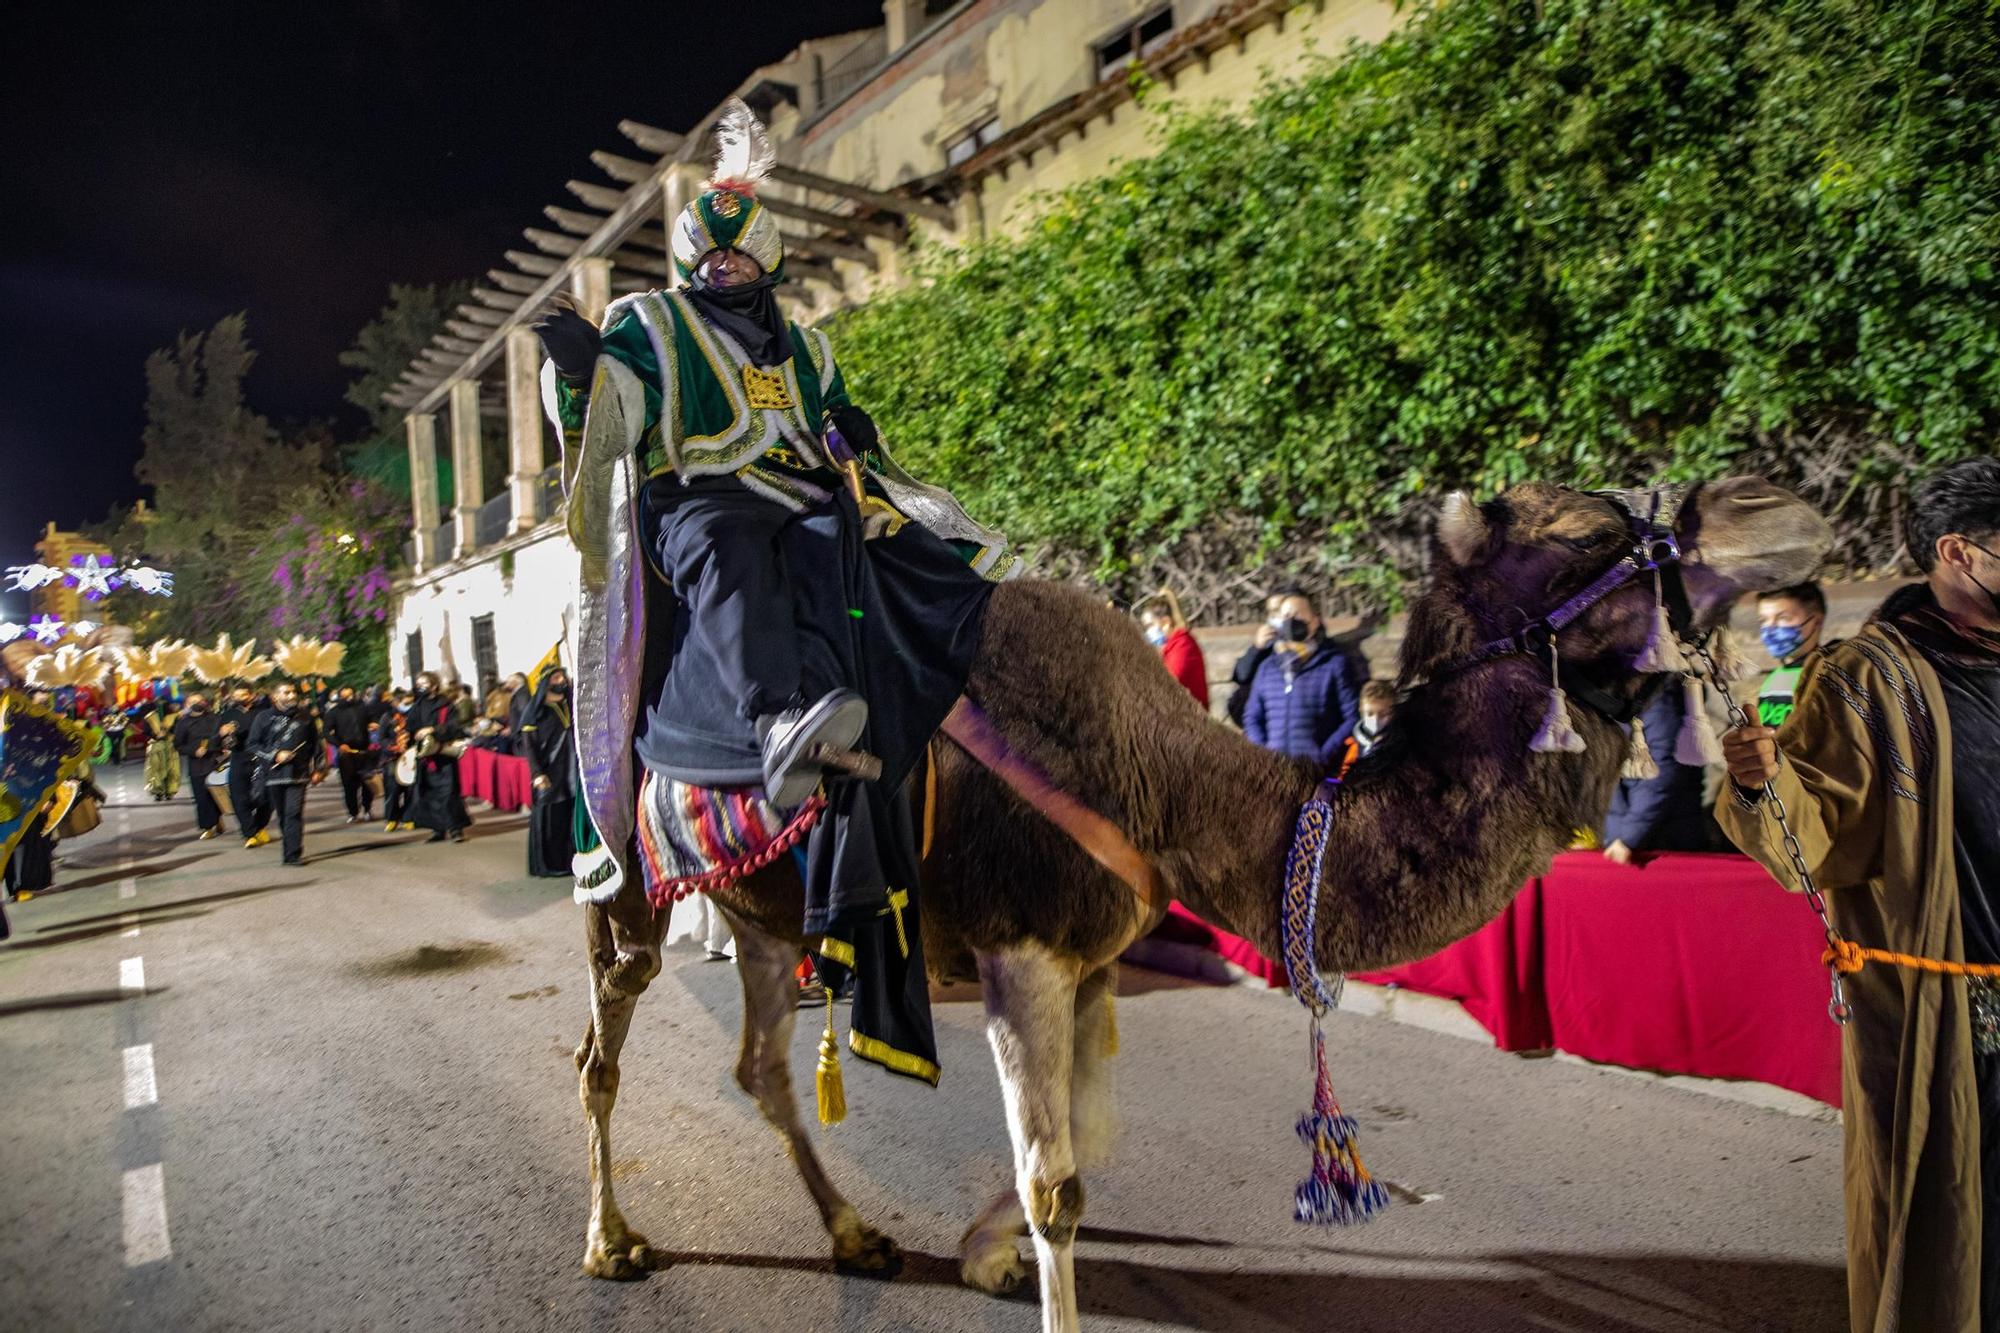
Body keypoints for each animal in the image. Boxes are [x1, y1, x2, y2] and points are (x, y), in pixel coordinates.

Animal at [572, 472, 1832, 1320]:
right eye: (1585, 531)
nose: (1778, 503)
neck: (1173, 784)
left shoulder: (1085, 959)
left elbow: (1087, 1139)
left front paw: (981, 1253)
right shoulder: (1022, 947)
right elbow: (1055, 1181)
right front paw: (1016, 1258)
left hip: (758, 909)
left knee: (760, 1065)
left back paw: (852, 1236)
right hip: (622, 878)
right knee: (601, 1050)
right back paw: (613, 1242)